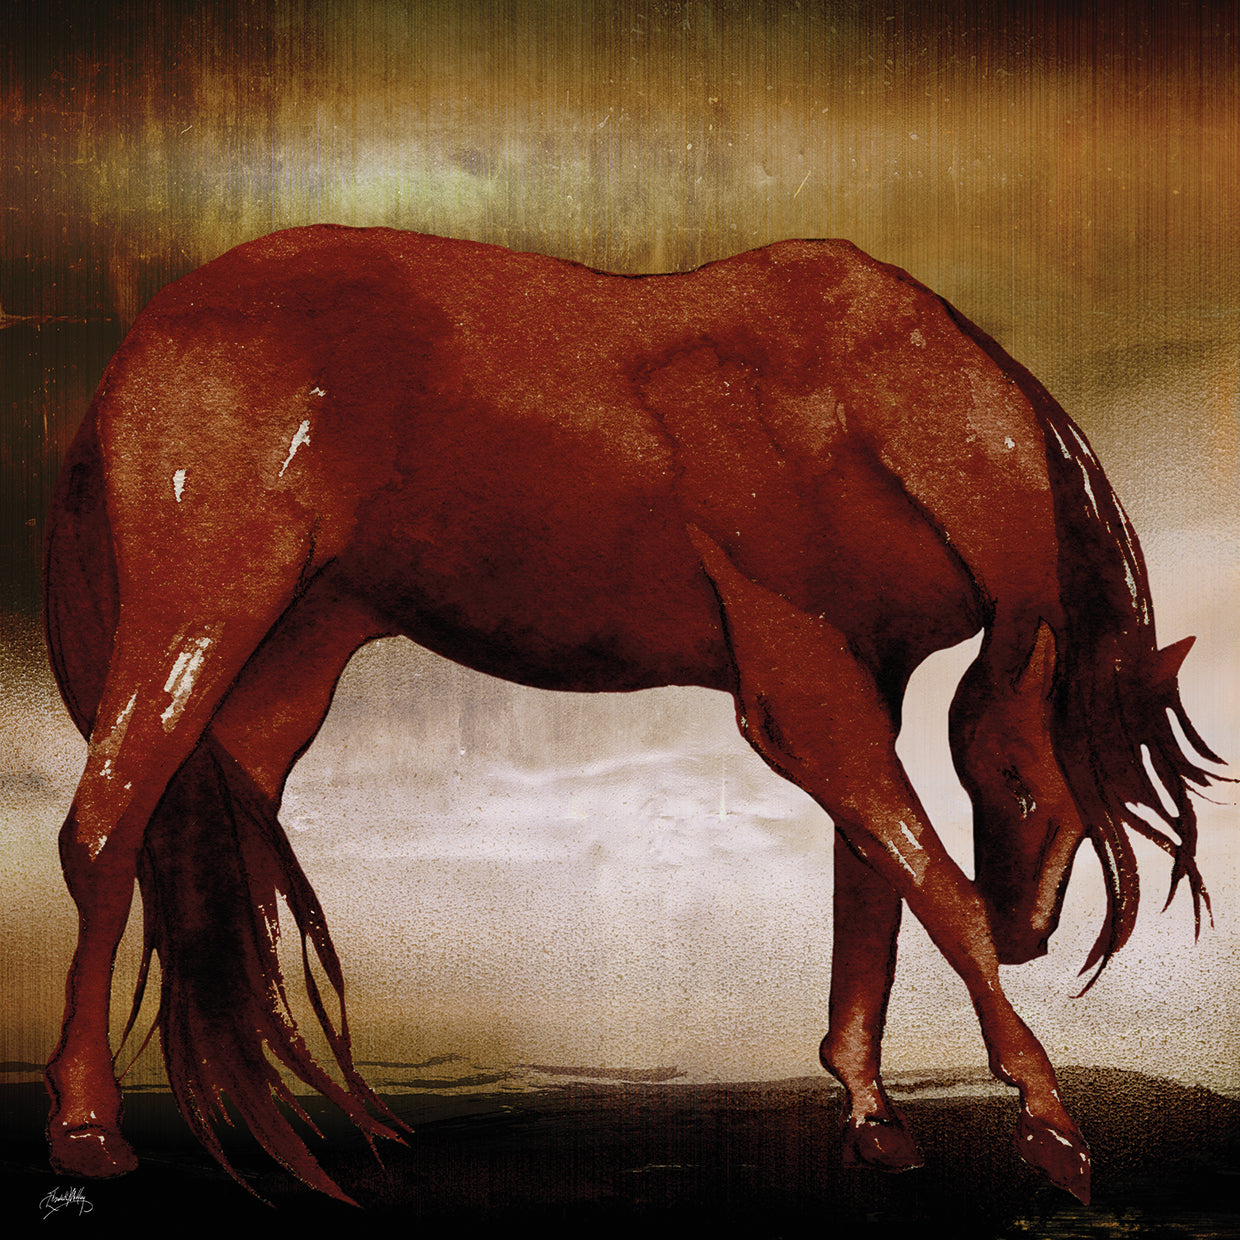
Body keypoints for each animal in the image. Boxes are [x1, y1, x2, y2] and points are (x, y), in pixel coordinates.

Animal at [42, 226, 1222, 1206]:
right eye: (1023, 780)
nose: (1033, 934)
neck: (855, 402)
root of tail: (148, 334)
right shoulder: (801, 691)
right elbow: (933, 889)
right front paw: (1048, 1119)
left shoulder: (865, 682)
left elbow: (873, 892)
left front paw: (871, 1112)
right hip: (200, 616)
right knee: (104, 831)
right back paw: (88, 1124)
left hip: (295, 655)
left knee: (227, 859)